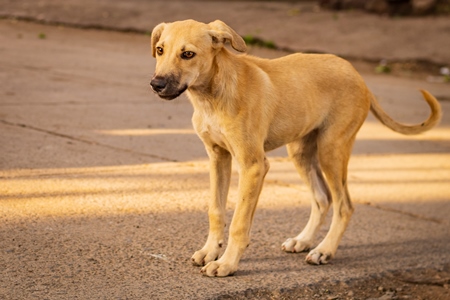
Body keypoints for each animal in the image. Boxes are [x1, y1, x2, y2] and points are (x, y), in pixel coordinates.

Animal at [149, 18, 442, 276]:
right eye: (160, 50)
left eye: (188, 54)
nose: (156, 84)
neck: (212, 94)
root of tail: (358, 76)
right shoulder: (217, 157)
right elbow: (216, 209)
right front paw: (211, 251)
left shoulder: (253, 165)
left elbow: (239, 222)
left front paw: (227, 264)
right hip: (301, 152)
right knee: (322, 198)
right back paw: (304, 240)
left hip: (331, 150)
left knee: (344, 205)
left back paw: (324, 250)